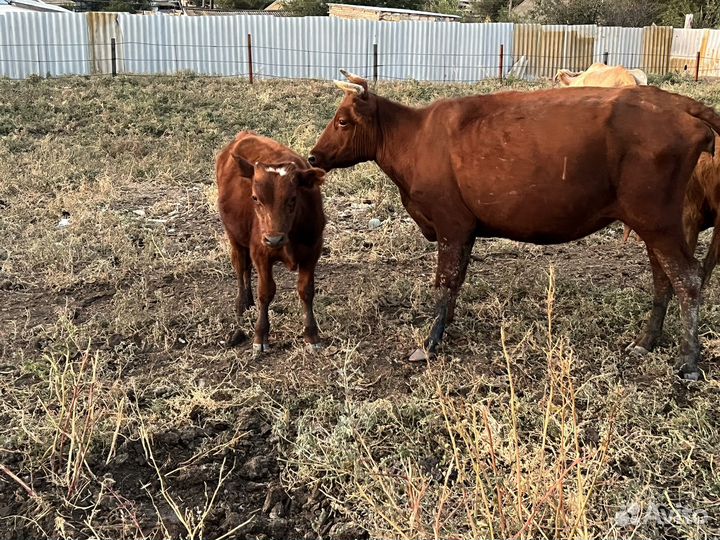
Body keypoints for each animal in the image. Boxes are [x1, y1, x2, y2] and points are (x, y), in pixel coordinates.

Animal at [216, 132, 326, 353]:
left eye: (293, 198)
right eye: (255, 198)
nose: (274, 239)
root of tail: (245, 134)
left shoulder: (313, 250)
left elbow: (306, 290)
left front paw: (311, 335)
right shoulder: (261, 252)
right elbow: (266, 292)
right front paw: (260, 336)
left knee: (246, 268)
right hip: (234, 238)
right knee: (241, 267)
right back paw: (241, 303)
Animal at [309, 70, 720, 380]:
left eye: (343, 121)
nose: (313, 156)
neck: (416, 137)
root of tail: (676, 103)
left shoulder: (451, 224)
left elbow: (445, 281)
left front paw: (430, 342)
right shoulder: (464, 230)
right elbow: (455, 281)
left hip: (659, 223)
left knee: (687, 279)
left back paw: (689, 362)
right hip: (654, 225)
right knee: (663, 279)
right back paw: (646, 341)